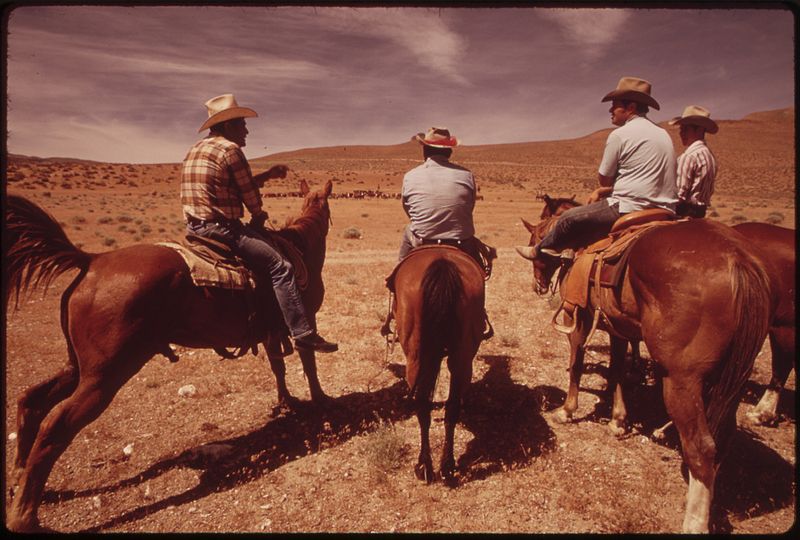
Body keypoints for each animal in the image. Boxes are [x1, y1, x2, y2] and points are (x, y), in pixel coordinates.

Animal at [3, 180, 334, 532]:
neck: (301, 247)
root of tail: (91, 261)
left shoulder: (272, 332)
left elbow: (278, 367)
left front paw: (287, 402)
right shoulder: (304, 320)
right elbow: (309, 360)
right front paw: (320, 399)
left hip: (78, 367)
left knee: (32, 400)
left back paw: (19, 482)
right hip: (104, 377)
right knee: (54, 427)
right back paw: (24, 516)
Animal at [390, 245, 484, 480]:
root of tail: (442, 263)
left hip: (415, 357)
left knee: (424, 405)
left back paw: (425, 465)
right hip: (461, 356)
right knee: (449, 406)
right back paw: (446, 465)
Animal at [516, 195, 780, 532]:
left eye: (535, 237)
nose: (537, 284)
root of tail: (740, 262)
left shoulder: (579, 318)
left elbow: (576, 363)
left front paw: (567, 410)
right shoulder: (617, 326)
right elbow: (617, 370)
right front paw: (618, 420)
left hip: (681, 381)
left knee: (702, 447)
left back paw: (694, 520)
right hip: (732, 378)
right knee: (723, 438)